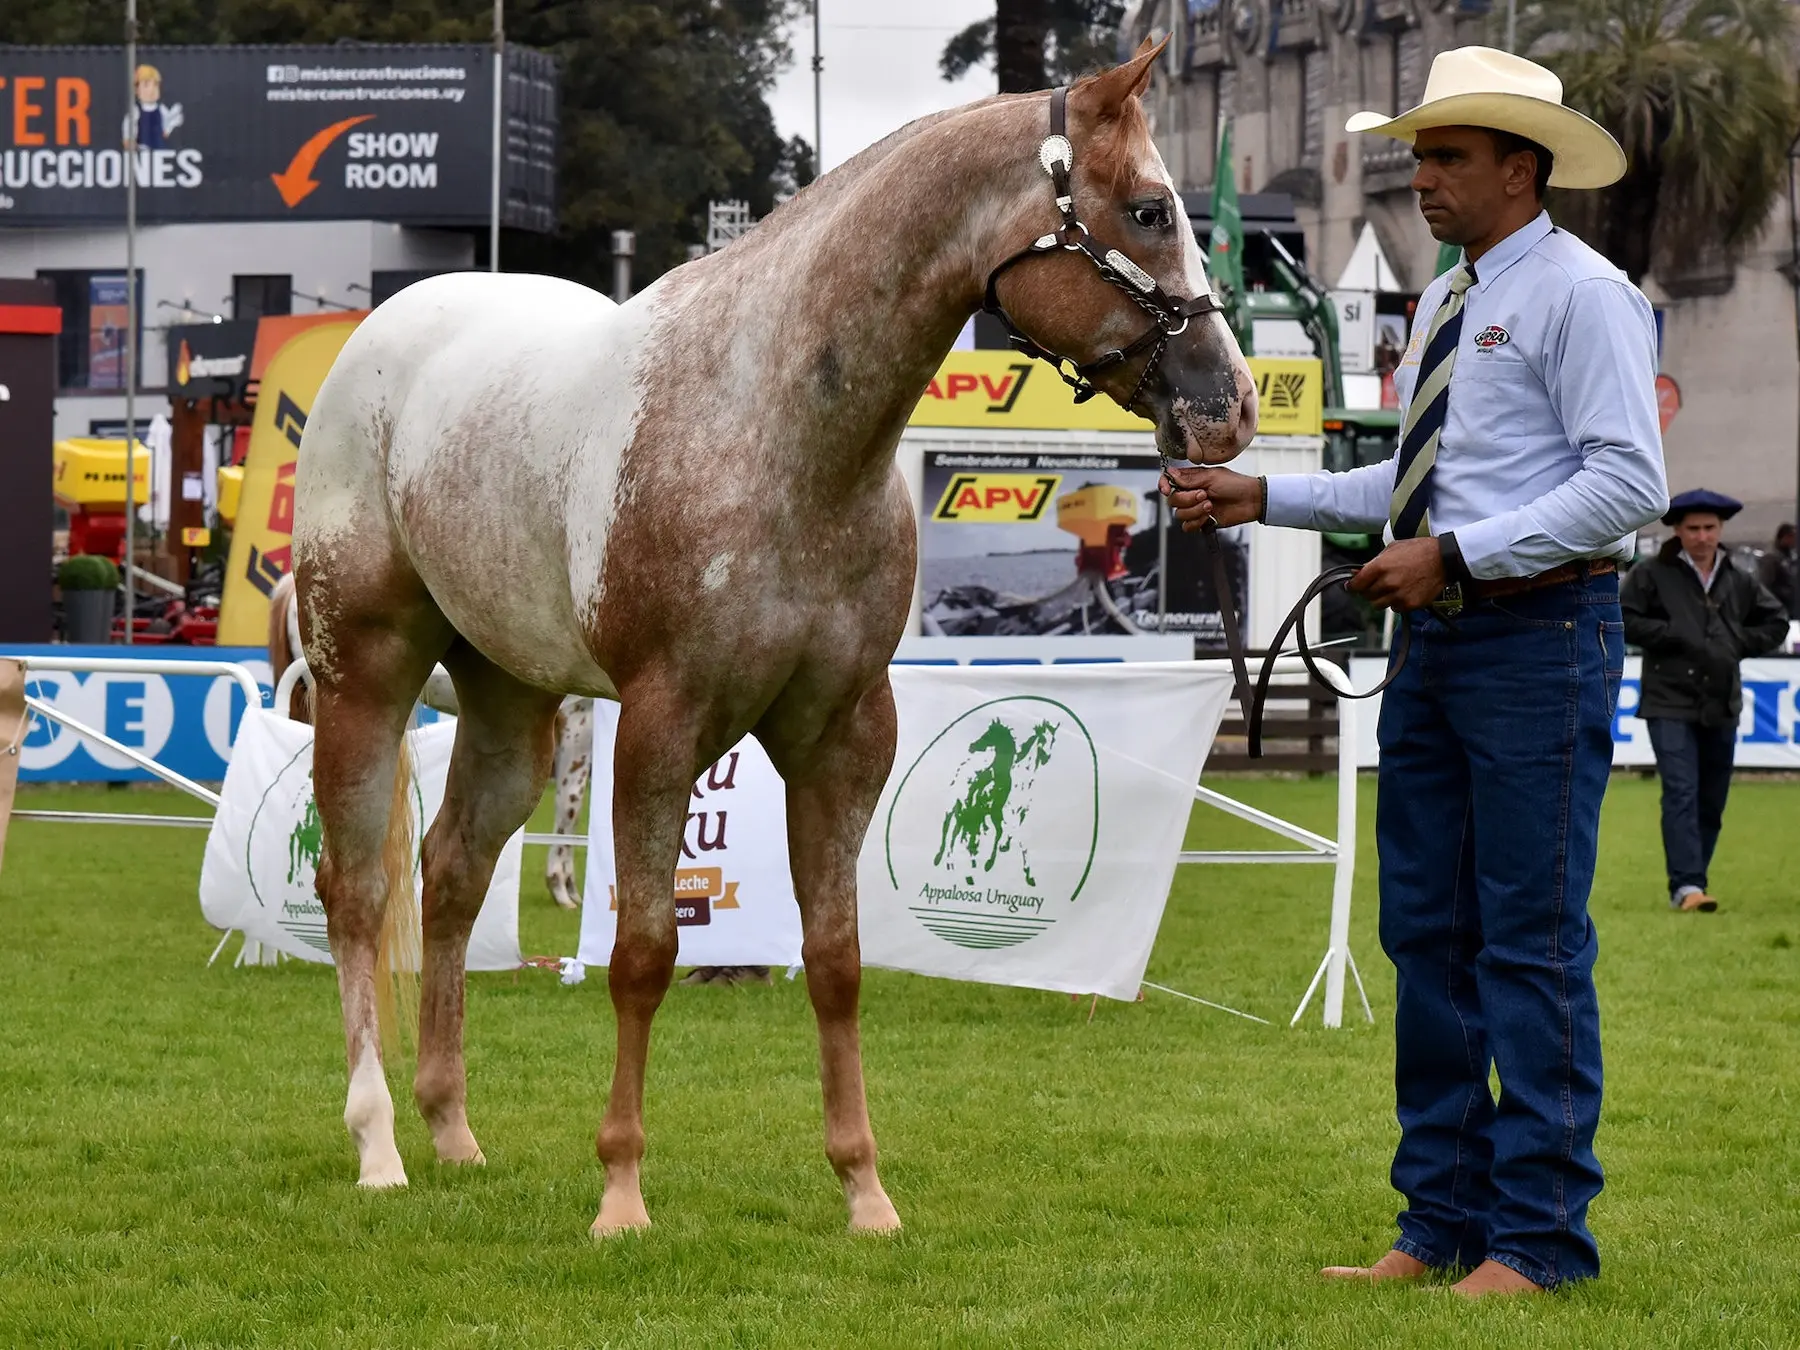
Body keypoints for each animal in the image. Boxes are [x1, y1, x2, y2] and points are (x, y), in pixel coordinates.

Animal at [291, 36, 1252, 1245]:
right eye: (1150, 209)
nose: (1232, 406)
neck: (776, 432)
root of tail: (380, 341)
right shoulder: (662, 726)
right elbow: (645, 955)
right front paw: (621, 1194)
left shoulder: (841, 733)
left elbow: (835, 961)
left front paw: (864, 1190)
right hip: (361, 673)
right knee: (357, 894)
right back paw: (378, 1146)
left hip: (511, 706)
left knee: (452, 875)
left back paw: (453, 1131)